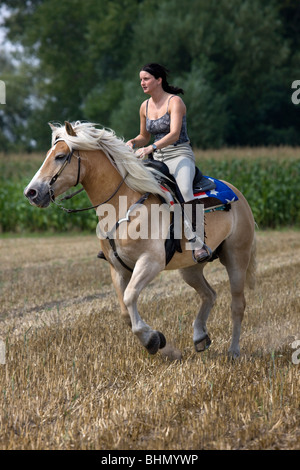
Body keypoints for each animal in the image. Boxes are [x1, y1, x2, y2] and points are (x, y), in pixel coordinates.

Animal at [24, 121, 256, 360]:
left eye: (60, 156)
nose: (31, 192)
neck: (124, 206)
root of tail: (237, 193)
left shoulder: (150, 262)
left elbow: (129, 297)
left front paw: (153, 340)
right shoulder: (118, 269)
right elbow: (124, 312)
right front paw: (163, 345)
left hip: (236, 258)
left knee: (237, 305)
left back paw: (233, 352)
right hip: (190, 268)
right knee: (209, 294)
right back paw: (200, 337)